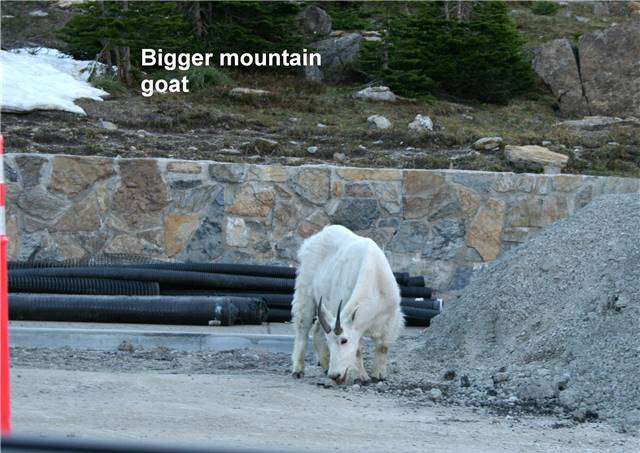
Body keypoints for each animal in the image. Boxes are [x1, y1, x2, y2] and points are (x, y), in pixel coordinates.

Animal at [291, 224, 404, 384]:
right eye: (330, 342)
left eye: (344, 340)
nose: (335, 375)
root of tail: (313, 239)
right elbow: (357, 350)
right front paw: (361, 377)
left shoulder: (391, 317)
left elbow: (383, 346)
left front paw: (378, 375)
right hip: (305, 291)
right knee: (303, 327)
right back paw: (298, 370)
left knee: (318, 331)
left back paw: (325, 366)